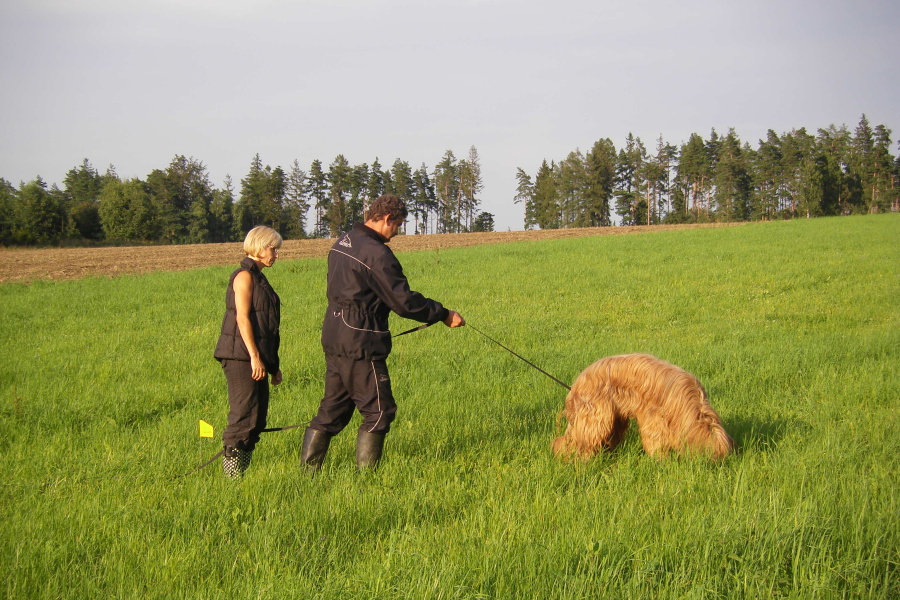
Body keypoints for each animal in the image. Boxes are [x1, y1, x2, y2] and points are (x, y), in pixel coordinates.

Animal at [552, 354, 736, 462]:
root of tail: (577, 383)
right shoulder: (654, 418)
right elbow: (655, 439)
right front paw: (660, 459)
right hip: (596, 416)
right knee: (578, 440)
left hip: (616, 418)